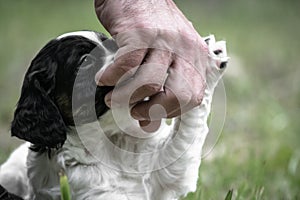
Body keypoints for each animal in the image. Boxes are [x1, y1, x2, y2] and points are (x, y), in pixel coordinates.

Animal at [0, 30, 229, 200]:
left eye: (112, 43)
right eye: (85, 60)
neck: (112, 140)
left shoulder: (167, 172)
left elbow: (185, 138)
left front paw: (209, 56)